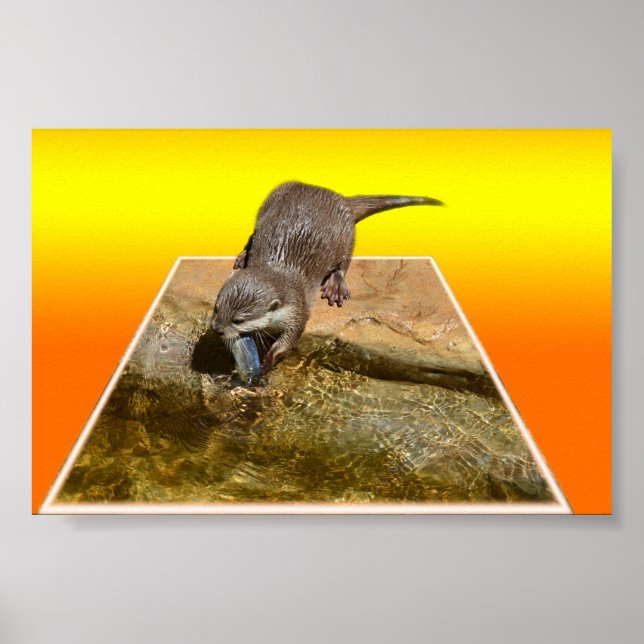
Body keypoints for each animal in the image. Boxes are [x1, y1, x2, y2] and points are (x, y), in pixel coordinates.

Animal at [211, 181, 443, 374]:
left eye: (238, 320)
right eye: (216, 308)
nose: (216, 328)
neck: (277, 270)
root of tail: (338, 197)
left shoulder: (299, 310)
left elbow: (289, 340)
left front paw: (268, 360)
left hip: (347, 233)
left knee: (344, 261)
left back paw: (336, 285)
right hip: (267, 205)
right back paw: (243, 256)